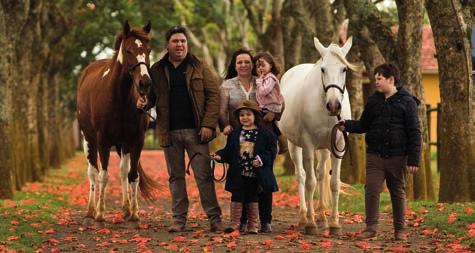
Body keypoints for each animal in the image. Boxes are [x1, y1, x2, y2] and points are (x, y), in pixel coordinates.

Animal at [77, 21, 158, 223]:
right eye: (128, 50)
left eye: (148, 49)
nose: (145, 83)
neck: (119, 98)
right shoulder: (103, 141)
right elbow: (104, 176)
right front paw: (100, 212)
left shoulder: (136, 141)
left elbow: (132, 175)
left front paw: (134, 212)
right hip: (89, 140)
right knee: (93, 172)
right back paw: (91, 209)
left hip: (123, 145)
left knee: (123, 172)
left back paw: (126, 208)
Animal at [278, 36, 356, 234]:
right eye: (323, 69)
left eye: (344, 69)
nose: (334, 105)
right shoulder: (308, 145)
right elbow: (310, 182)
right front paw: (311, 224)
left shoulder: (338, 146)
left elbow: (334, 182)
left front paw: (335, 224)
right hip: (294, 145)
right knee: (302, 176)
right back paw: (304, 217)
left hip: (325, 148)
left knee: (321, 175)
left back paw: (322, 217)